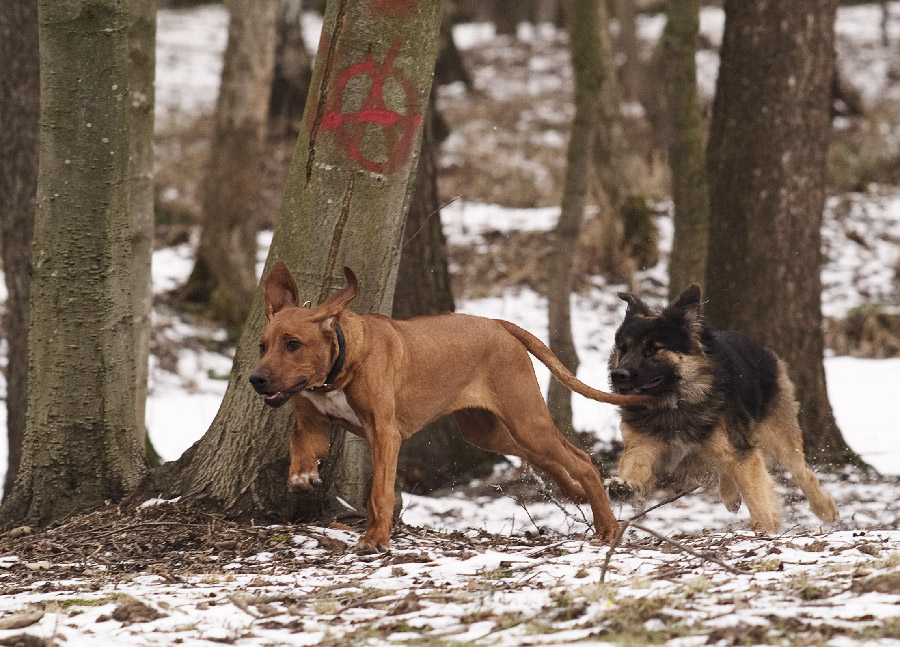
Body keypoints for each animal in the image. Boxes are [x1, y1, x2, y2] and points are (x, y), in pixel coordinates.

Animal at [250, 264, 652, 552]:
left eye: (293, 344)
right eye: (262, 346)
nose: (256, 379)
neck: (338, 367)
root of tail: (497, 323)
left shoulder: (385, 433)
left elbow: (379, 491)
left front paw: (376, 538)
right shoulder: (315, 423)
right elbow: (298, 440)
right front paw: (302, 474)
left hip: (525, 418)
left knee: (580, 460)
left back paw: (606, 527)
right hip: (486, 432)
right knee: (544, 457)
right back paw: (576, 494)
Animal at [604, 286, 836, 536]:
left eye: (651, 349)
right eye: (623, 349)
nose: (617, 375)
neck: (675, 402)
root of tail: (757, 347)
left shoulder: (740, 449)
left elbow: (757, 495)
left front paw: (764, 529)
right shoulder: (644, 445)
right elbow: (633, 462)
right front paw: (623, 486)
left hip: (777, 434)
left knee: (801, 471)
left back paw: (825, 509)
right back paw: (729, 494)